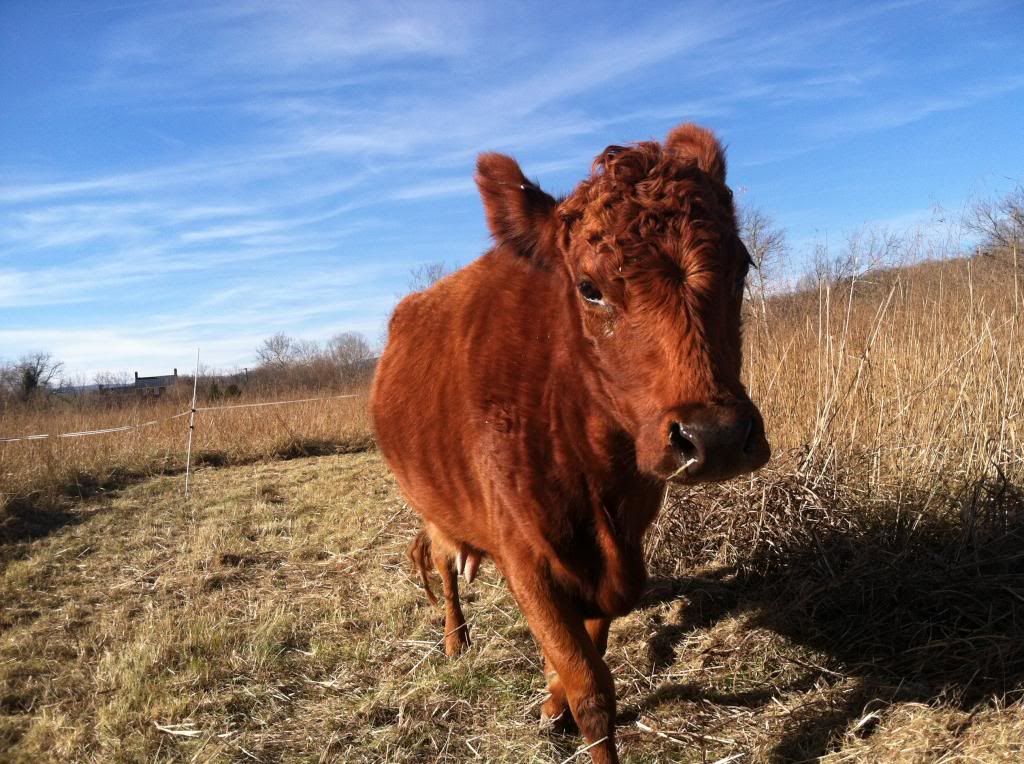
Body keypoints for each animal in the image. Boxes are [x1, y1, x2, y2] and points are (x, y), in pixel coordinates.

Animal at [370, 123, 770, 763]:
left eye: (743, 267)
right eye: (589, 288)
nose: (718, 437)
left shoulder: (622, 543)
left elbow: (591, 640)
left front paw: (551, 697)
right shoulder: (523, 554)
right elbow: (591, 690)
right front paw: (571, 706)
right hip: (436, 505)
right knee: (442, 561)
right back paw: (456, 641)